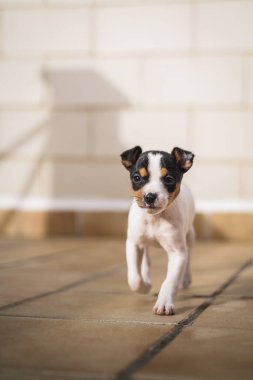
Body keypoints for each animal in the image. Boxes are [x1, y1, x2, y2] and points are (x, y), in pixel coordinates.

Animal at [119, 145, 195, 314]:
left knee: (188, 256)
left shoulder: (177, 253)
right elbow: (134, 278)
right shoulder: (133, 244)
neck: (155, 218)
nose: (150, 196)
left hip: (190, 236)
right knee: (146, 260)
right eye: (137, 178)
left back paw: (185, 278)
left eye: (169, 179)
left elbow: (170, 280)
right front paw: (144, 287)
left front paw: (165, 303)